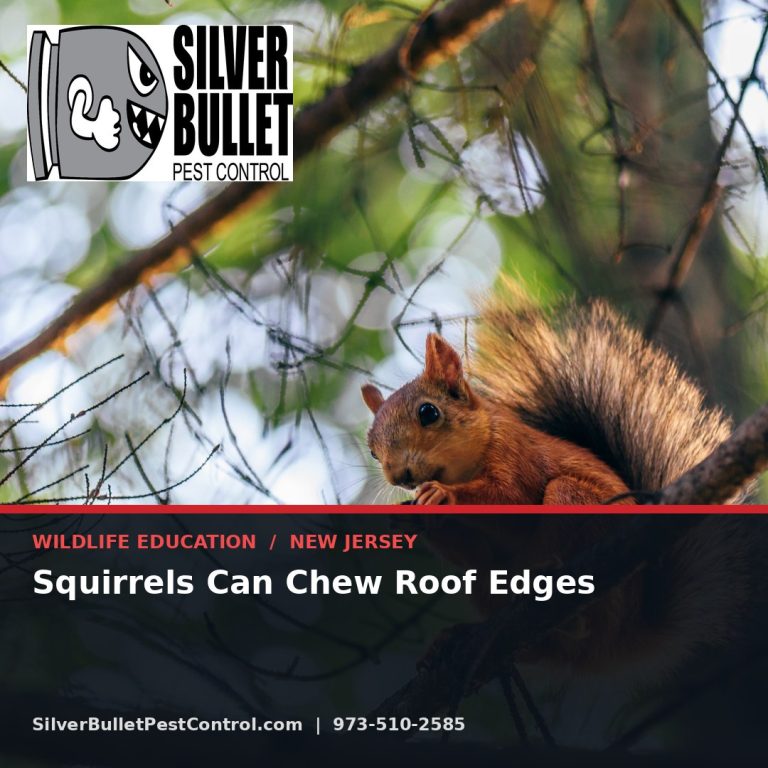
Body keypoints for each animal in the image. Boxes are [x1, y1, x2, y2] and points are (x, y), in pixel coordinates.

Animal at [361, 283, 761, 675]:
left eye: (428, 412)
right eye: (372, 449)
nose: (398, 474)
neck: (466, 462)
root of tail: (624, 636)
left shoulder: (515, 455)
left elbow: (510, 500)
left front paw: (443, 495)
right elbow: (476, 552)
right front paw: (414, 515)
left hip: (578, 508)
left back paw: (549, 575)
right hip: (487, 588)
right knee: (538, 647)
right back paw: (458, 638)